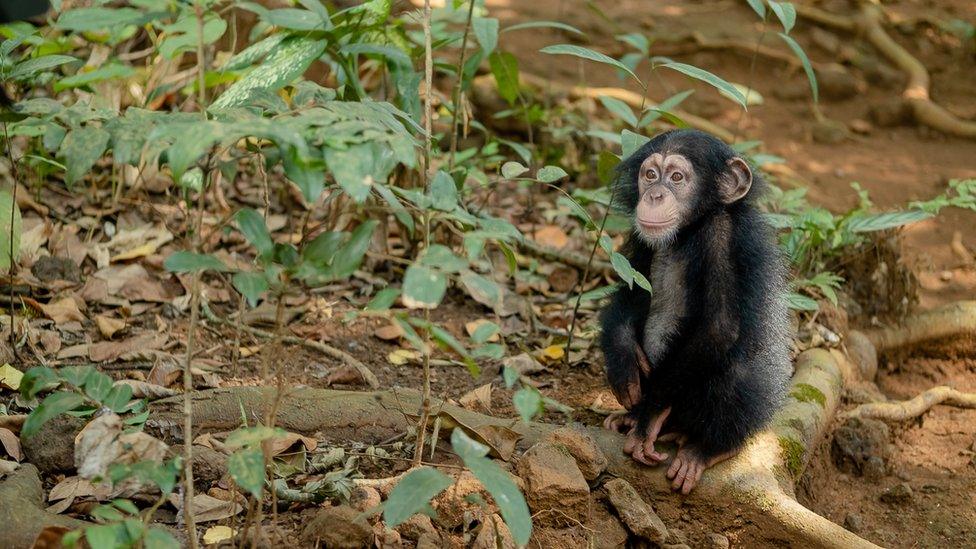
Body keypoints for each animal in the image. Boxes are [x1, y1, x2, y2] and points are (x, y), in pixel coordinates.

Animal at [596, 128, 792, 492]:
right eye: (650, 174)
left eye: (676, 177)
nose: (655, 195)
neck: (689, 230)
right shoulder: (640, 237)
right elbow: (630, 294)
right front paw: (624, 364)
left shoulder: (721, 237)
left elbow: (718, 327)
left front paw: (650, 414)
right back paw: (631, 417)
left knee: (732, 374)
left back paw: (705, 448)